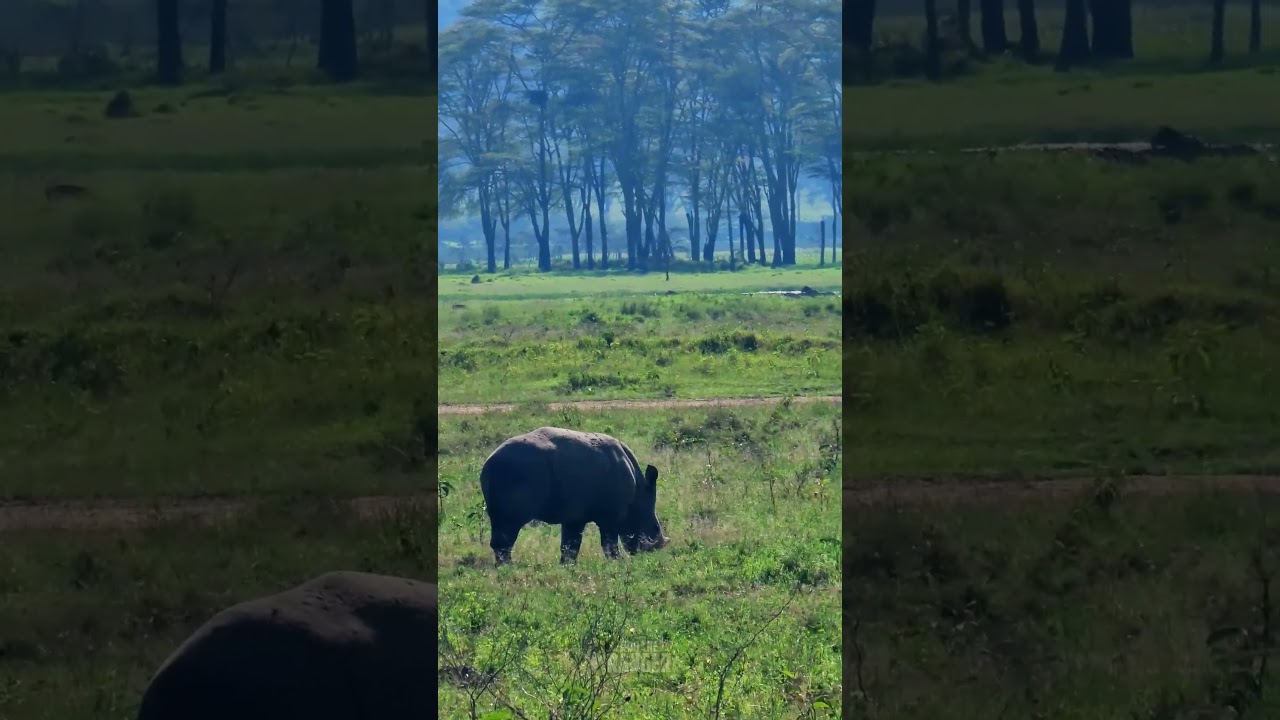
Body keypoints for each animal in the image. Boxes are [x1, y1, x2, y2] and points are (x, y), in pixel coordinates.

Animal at [480, 426, 669, 566]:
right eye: (654, 528)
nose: (655, 551)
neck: (638, 494)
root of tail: (489, 464)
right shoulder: (611, 516)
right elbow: (609, 542)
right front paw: (617, 562)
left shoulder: (575, 516)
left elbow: (570, 544)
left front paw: (568, 566)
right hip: (516, 473)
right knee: (510, 526)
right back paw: (508, 567)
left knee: (500, 524)